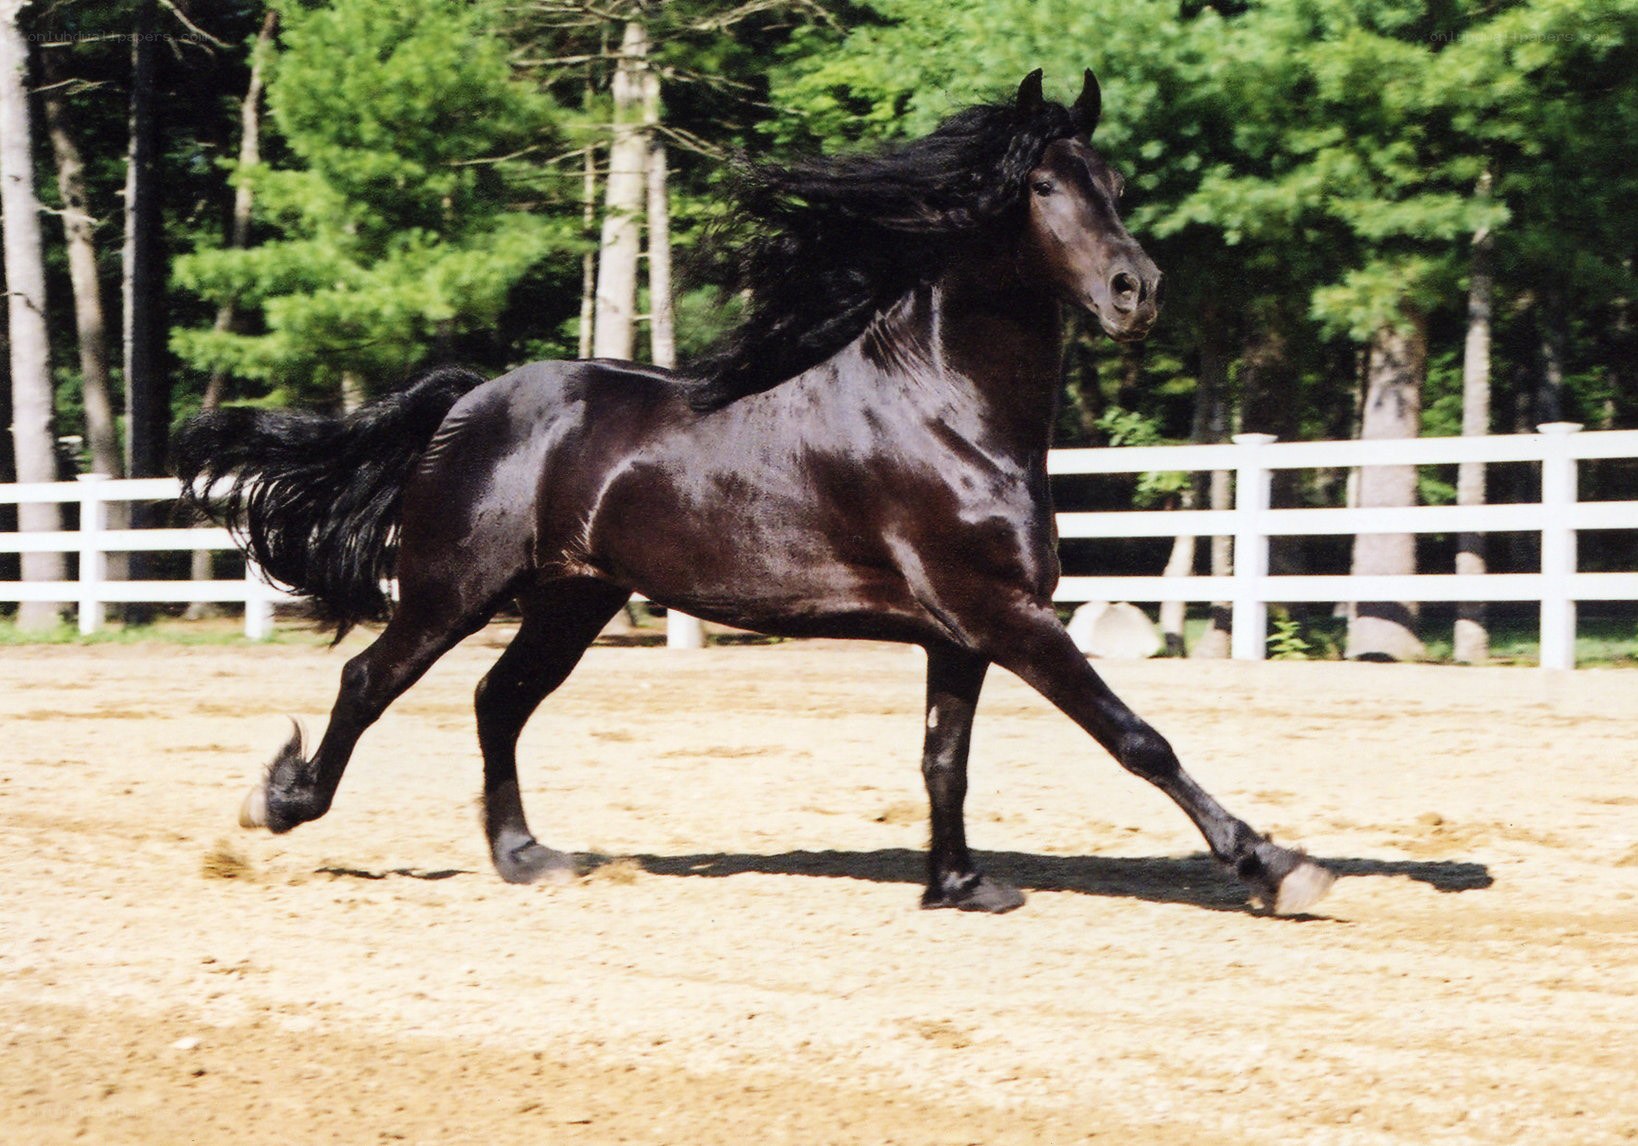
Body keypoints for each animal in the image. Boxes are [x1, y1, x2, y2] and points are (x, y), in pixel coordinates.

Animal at [174, 70, 1334, 916]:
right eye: (1043, 188)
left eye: (1115, 182)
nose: (1138, 291)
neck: (946, 408)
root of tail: (470, 400)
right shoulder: (1006, 614)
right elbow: (1137, 737)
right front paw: (1277, 865)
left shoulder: (960, 631)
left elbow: (943, 760)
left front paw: (960, 886)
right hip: (454, 588)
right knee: (371, 681)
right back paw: (281, 803)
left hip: (574, 596)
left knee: (498, 700)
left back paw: (529, 856)